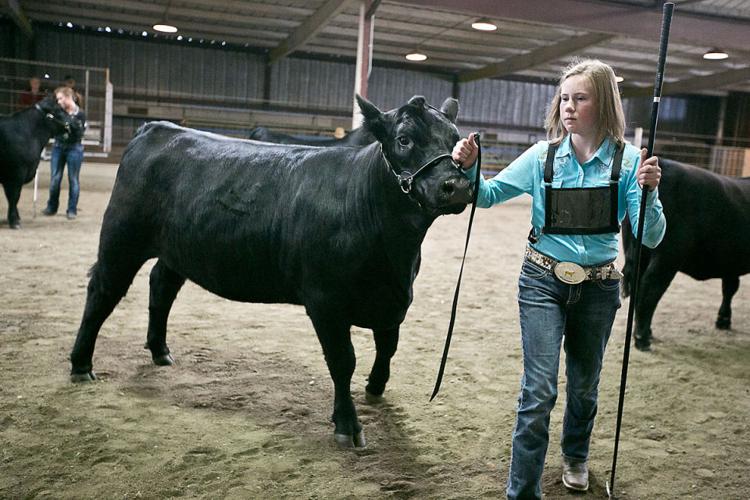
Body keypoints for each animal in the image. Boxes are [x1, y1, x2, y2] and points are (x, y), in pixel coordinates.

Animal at [0, 96, 68, 229]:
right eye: (59, 110)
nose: (79, 123)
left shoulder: (8, 177)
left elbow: (10, 198)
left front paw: (15, 218)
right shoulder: (16, 173)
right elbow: (14, 197)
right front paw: (14, 222)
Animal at [69, 95, 472, 447]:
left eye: (456, 141)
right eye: (404, 139)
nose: (456, 186)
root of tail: (157, 128)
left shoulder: (394, 298)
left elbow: (388, 347)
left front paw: (375, 387)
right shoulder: (325, 303)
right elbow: (343, 362)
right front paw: (347, 424)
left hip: (177, 248)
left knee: (161, 287)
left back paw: (159, 351)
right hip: (122, 238)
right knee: (102, 293)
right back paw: (81, 364)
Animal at [622, 158, 750, 351]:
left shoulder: (731, 262)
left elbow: (729, 287)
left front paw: (723, 320)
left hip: (640, 254)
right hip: (668, 256)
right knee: (650, 288)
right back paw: (642, 338)